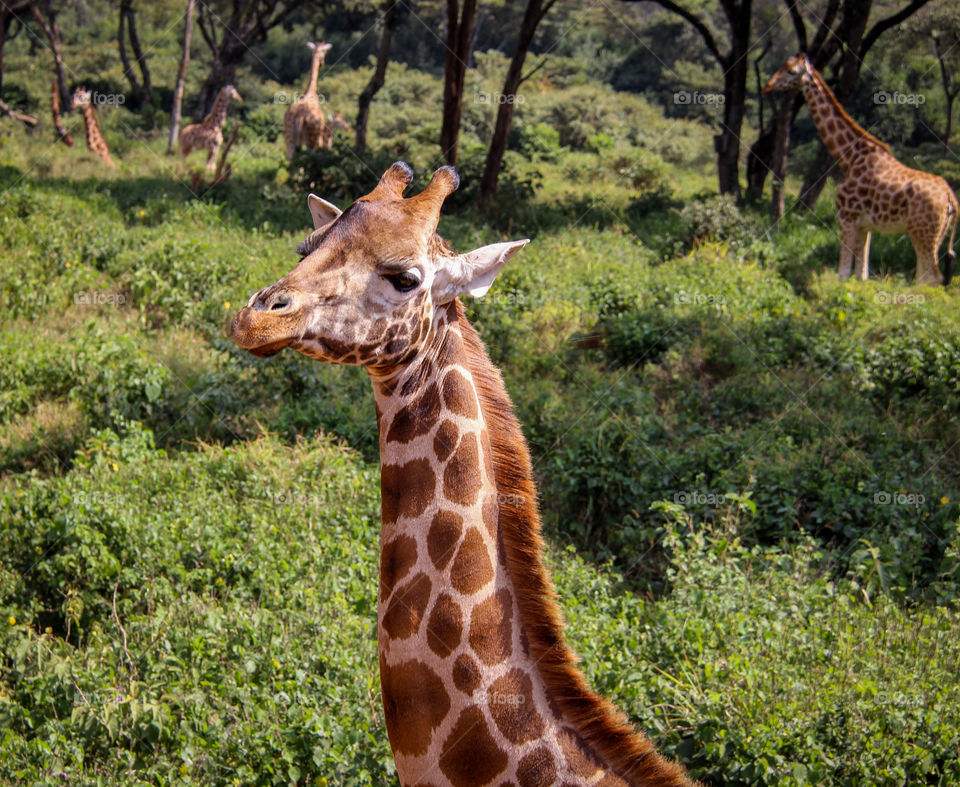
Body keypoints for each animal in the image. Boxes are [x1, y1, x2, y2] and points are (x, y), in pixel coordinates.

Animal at [760, 53, 956, 286]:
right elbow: (862, 274)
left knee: (933, 277)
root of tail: (951, 198)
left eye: (791, 71)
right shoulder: (865, 225)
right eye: (783, 66)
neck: (849, 158)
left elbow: (843, 274)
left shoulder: (846, 217)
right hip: (937, 234)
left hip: (922, 231)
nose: (767, 86)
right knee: (925, 277)